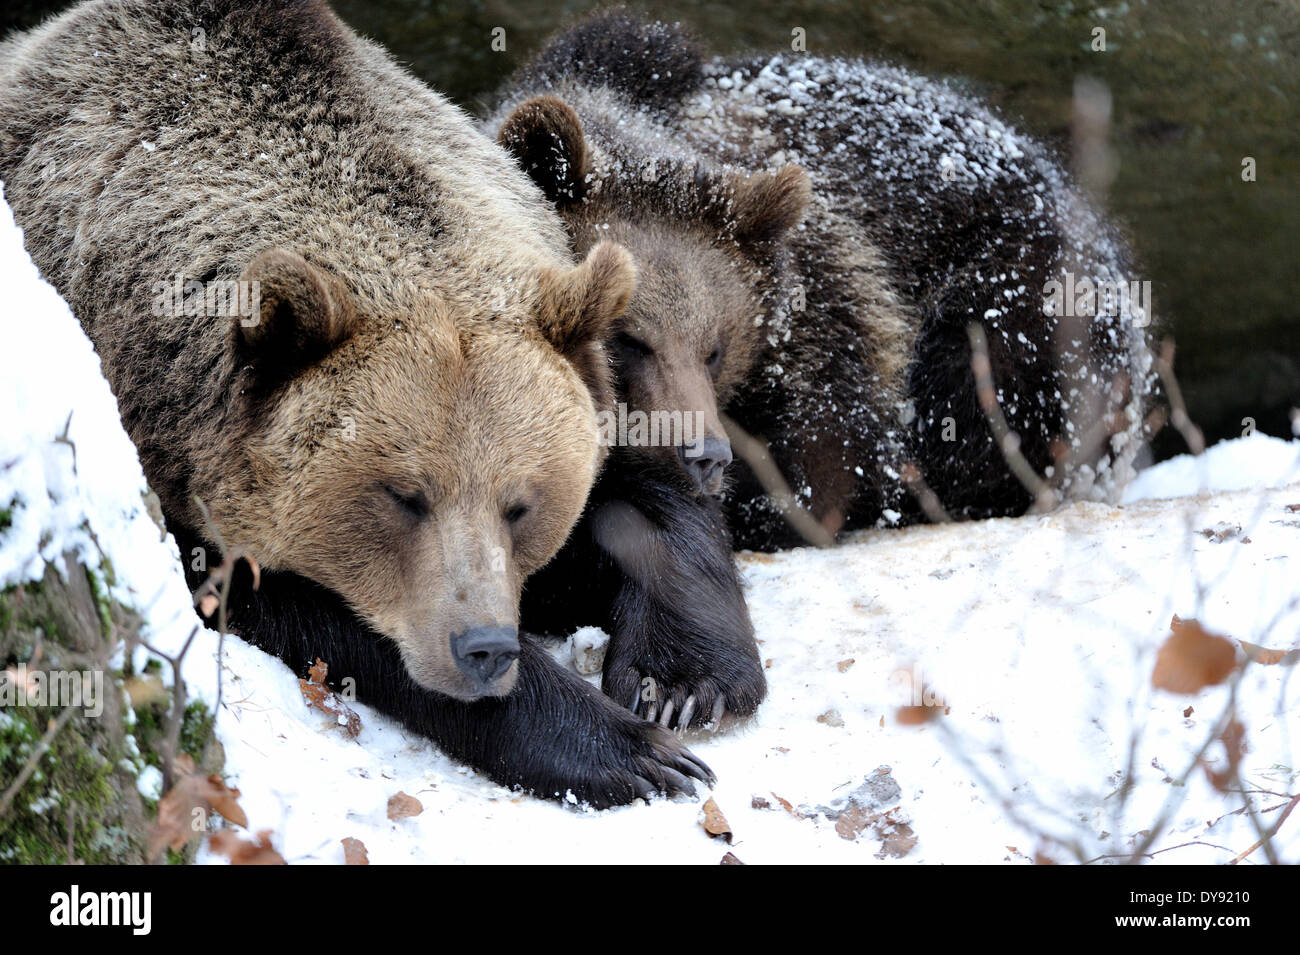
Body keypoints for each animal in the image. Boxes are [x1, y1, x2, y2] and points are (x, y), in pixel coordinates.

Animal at [0, 0, 712, 805]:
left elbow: (649, 497)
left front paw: (682, 680)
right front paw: (629, 748)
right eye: (403, 495)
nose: (484, 647)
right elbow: (321, 616)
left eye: (522, 503)